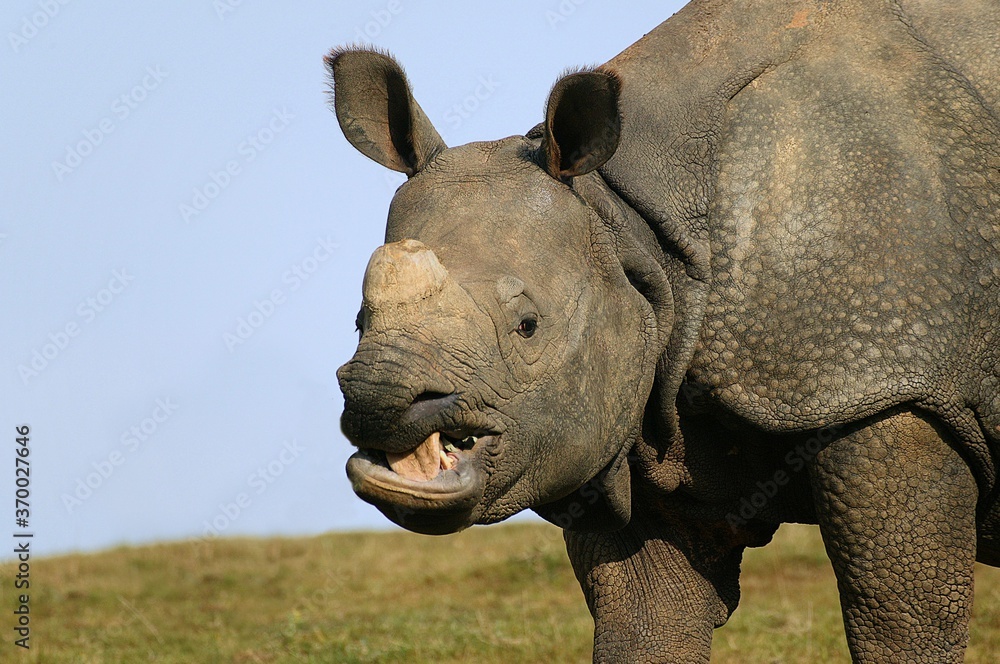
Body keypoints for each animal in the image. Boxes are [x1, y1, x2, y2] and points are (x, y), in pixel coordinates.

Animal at [328, 0, 1000, 660]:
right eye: (359, 320)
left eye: (527, 327)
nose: (379, 399)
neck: (627, 224)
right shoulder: (635, 414)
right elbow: (647, 621)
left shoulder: (888, 374)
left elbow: (898, 620)